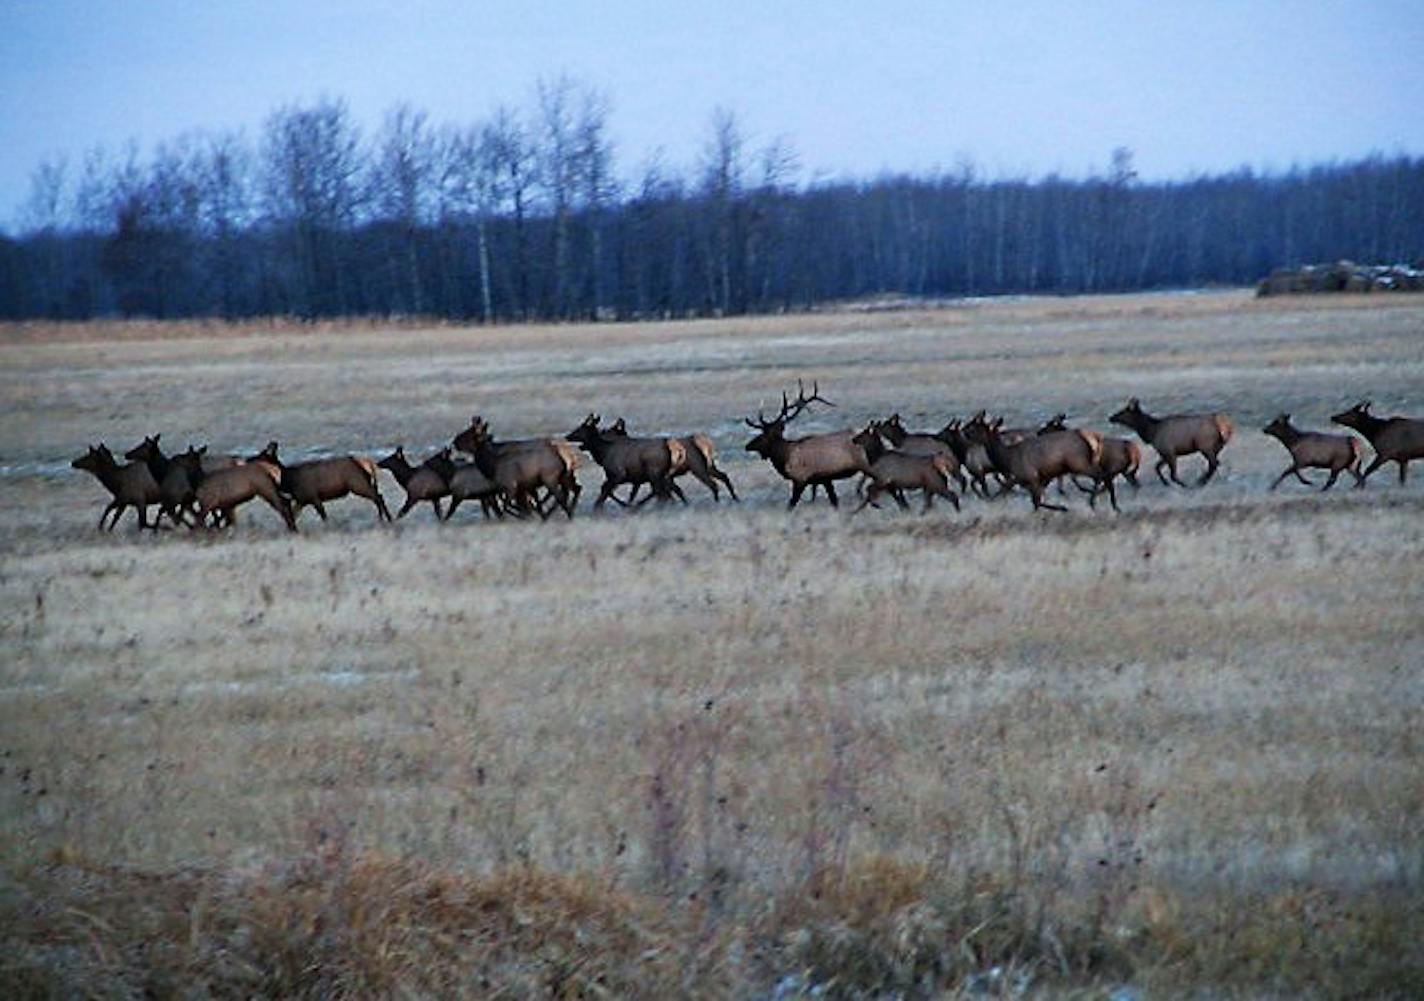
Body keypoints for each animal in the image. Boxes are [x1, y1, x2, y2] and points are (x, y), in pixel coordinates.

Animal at [253, 444, 390, 529]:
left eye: (261, 455)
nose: (249, 460)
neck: (289, 482)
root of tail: (368, 464)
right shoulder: (302, 500)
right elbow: (294, 515)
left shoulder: (313, 496)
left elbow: (323, 516)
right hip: (363, 483)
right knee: (378, 495)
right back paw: (386, 518)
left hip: (357, 483)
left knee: (377, 497)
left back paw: (386, 519)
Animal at [746, 381, 865, 512]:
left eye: (762, 435)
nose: (747, 446)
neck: (784, 456)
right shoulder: (824, 479)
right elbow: (834, 500)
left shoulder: (800, 479)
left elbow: (791, 504)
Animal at [962, 415, 1105, 512]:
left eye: (974, 428)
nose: (963, 431)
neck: (1008, 458)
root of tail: (1092, 439)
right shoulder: (1029, 480)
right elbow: (1035, 502)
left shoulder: (1031, 477)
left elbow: (1037, 501)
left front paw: (1062, 508)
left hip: (1078, 462)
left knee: (1099, 474)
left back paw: (1093, 501)